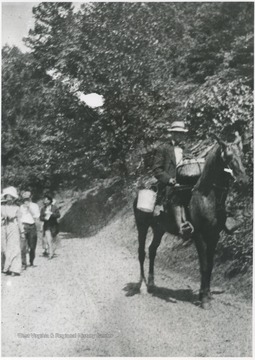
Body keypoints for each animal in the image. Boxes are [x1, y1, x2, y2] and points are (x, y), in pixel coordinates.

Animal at [134, 134, 248, 308]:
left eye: (241, 154)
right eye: (228, 157)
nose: (244, 181)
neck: (206, 198)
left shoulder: (214, 236)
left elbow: (210, 265)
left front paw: (206, 294)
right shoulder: (199, 236)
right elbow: (204, 265)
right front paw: (204, 299)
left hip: (159, 229)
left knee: (152, 250)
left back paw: (152, 284)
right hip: (142, 226)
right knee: (142, 253)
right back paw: (143, 286)